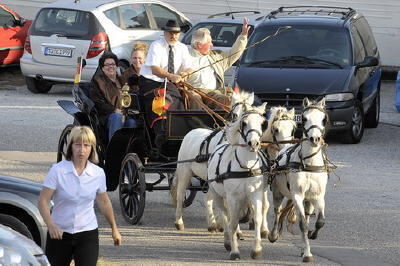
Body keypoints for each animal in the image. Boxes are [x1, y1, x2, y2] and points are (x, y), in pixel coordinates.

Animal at [171, 91, 253, 231]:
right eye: (235, 115)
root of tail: (191, 132)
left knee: (208, 198)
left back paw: (212, 223)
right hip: (185, 171)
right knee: (180, 194)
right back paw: (179, 222)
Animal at [208, 103, 268, 260]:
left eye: (262, 123)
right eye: (244, 123)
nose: (254, 143)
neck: (246, 166)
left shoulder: (255, 195)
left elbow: (257, 218)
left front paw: (256, 249)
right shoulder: (233, 197)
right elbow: (233, 223)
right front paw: (234, 251)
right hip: (218, 195)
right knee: (225, 215)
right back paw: (228, 240)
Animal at [268, 97, 328, 262]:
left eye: (323, 119)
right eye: (305, 118)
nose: (315, 138)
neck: (308, 164)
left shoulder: (318, 196)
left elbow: (320, 222)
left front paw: (312, 236)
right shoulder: (297, 196)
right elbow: (302, 224)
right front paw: (307, 253)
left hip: (309, 200)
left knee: (307, 215)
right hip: (278, 192)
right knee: (277, 210)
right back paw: (273, 234)